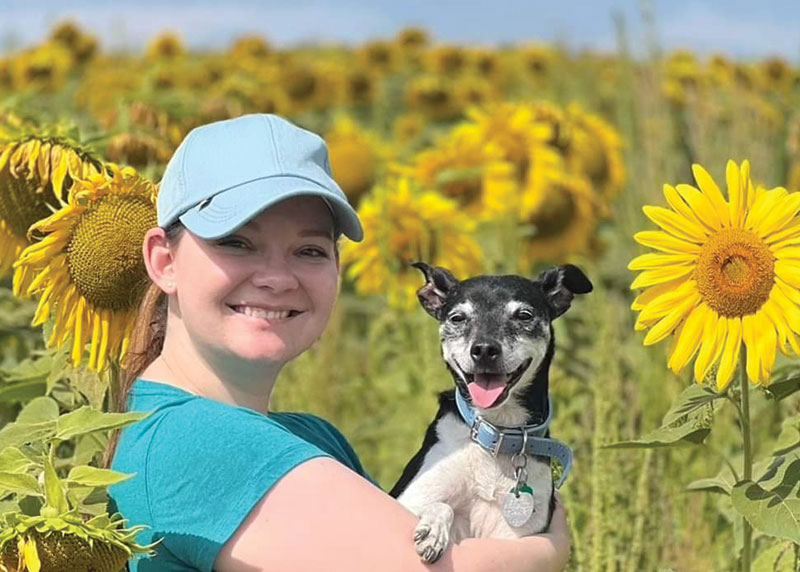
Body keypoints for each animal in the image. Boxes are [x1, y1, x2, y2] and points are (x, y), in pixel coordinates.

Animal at [390, 264, 592, 564]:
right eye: (457, 318)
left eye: (524, 315)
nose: (484, 349)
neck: (496, 432)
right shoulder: (411, 496)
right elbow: (442, 505)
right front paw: (433, 531)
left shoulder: (516, 536)